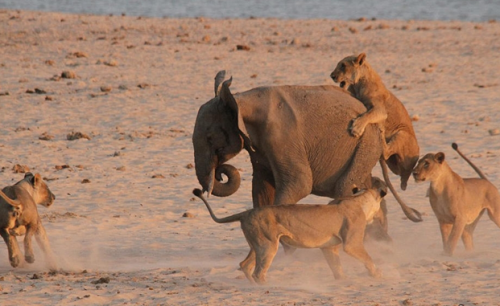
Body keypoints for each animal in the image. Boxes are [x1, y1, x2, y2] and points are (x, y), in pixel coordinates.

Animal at [191, 71, 422, 222]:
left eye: (210, 138)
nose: (198, 191)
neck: (242, 99)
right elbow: (262, 188)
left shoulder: (282, 135)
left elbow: (299, 183)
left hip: (366, 141)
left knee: (346, 187)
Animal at [192, 184, 386, 284]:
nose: (383, 217)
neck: (358, 200)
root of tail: (246, 212)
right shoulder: (351, 244)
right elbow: (367, 258)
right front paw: (376, 274)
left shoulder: (329, 247)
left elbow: (336, 265)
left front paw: (343, 280)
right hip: (269, 245)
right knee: (258, 272)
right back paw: (267, 288)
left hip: (257, 244)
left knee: (245, 265)